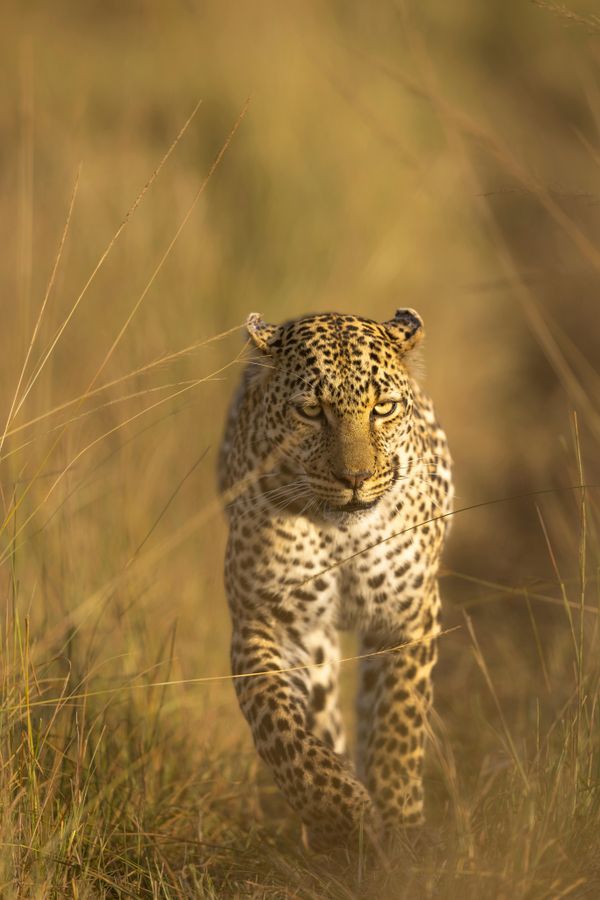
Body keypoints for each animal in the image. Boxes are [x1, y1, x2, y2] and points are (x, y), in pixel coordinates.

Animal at [218, 310, 452, 852]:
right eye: (311, 411)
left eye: (383, 408)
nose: (355, 478)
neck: (345, 535)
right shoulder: (264, 623)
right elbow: (280, 728)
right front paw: (342, 814)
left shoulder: (408, 616)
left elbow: (399, 721)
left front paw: (400, 821)